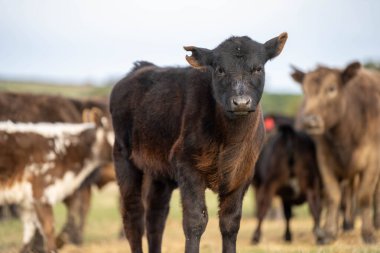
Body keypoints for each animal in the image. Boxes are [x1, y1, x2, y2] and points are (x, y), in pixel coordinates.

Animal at [290, 62, 380, 244]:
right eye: (305, 90)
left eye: (331, 88)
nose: (309, 120)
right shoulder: (324, 162)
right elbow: (332, 196)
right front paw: (329, 232)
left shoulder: (373, 162)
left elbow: (364, 196)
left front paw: (368, 233)